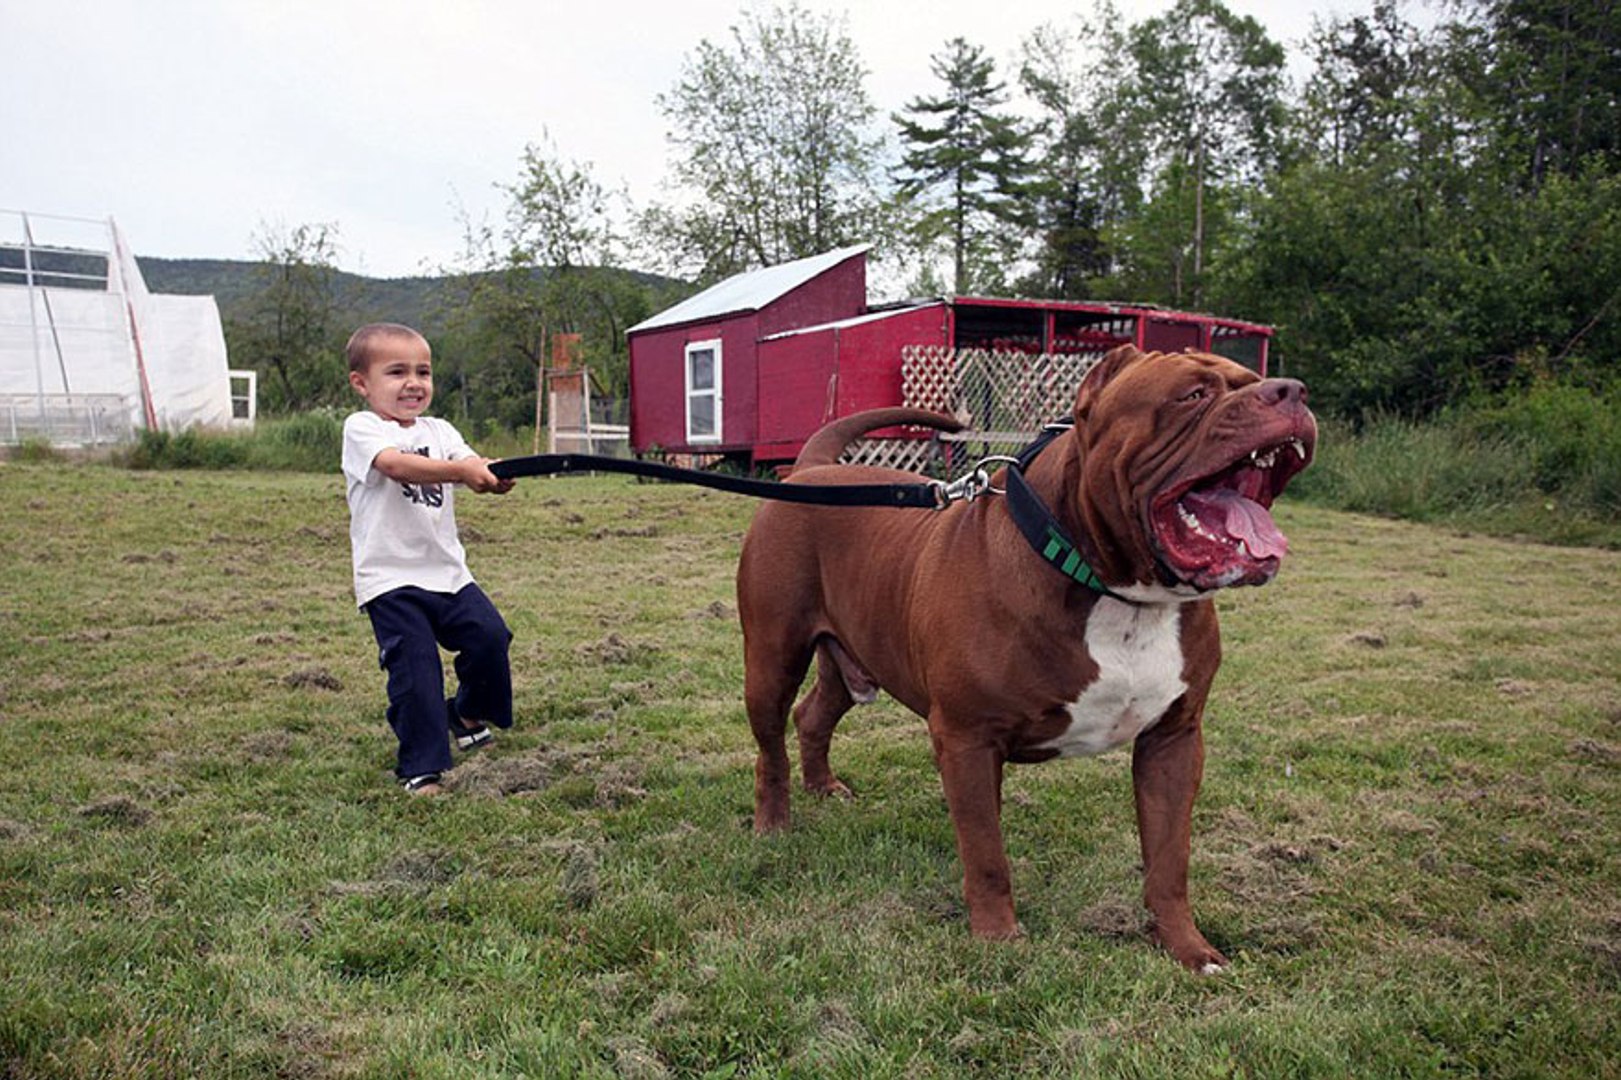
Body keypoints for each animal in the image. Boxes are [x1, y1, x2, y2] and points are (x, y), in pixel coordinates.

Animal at [735, 344, 1316, 971]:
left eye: (1254, 379)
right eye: (1192, 395)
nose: (1291, 390)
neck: (1119, 591)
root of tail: (813, 469)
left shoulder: (1174, 740)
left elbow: (1169, 859)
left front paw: (1186, 946)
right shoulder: (968, 739)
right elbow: (987, 852)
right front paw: (997, 937)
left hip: (855, 656)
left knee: (814, 714)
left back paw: (823, 787)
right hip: (771, 660)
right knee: (771, 746)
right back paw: (773, 824)